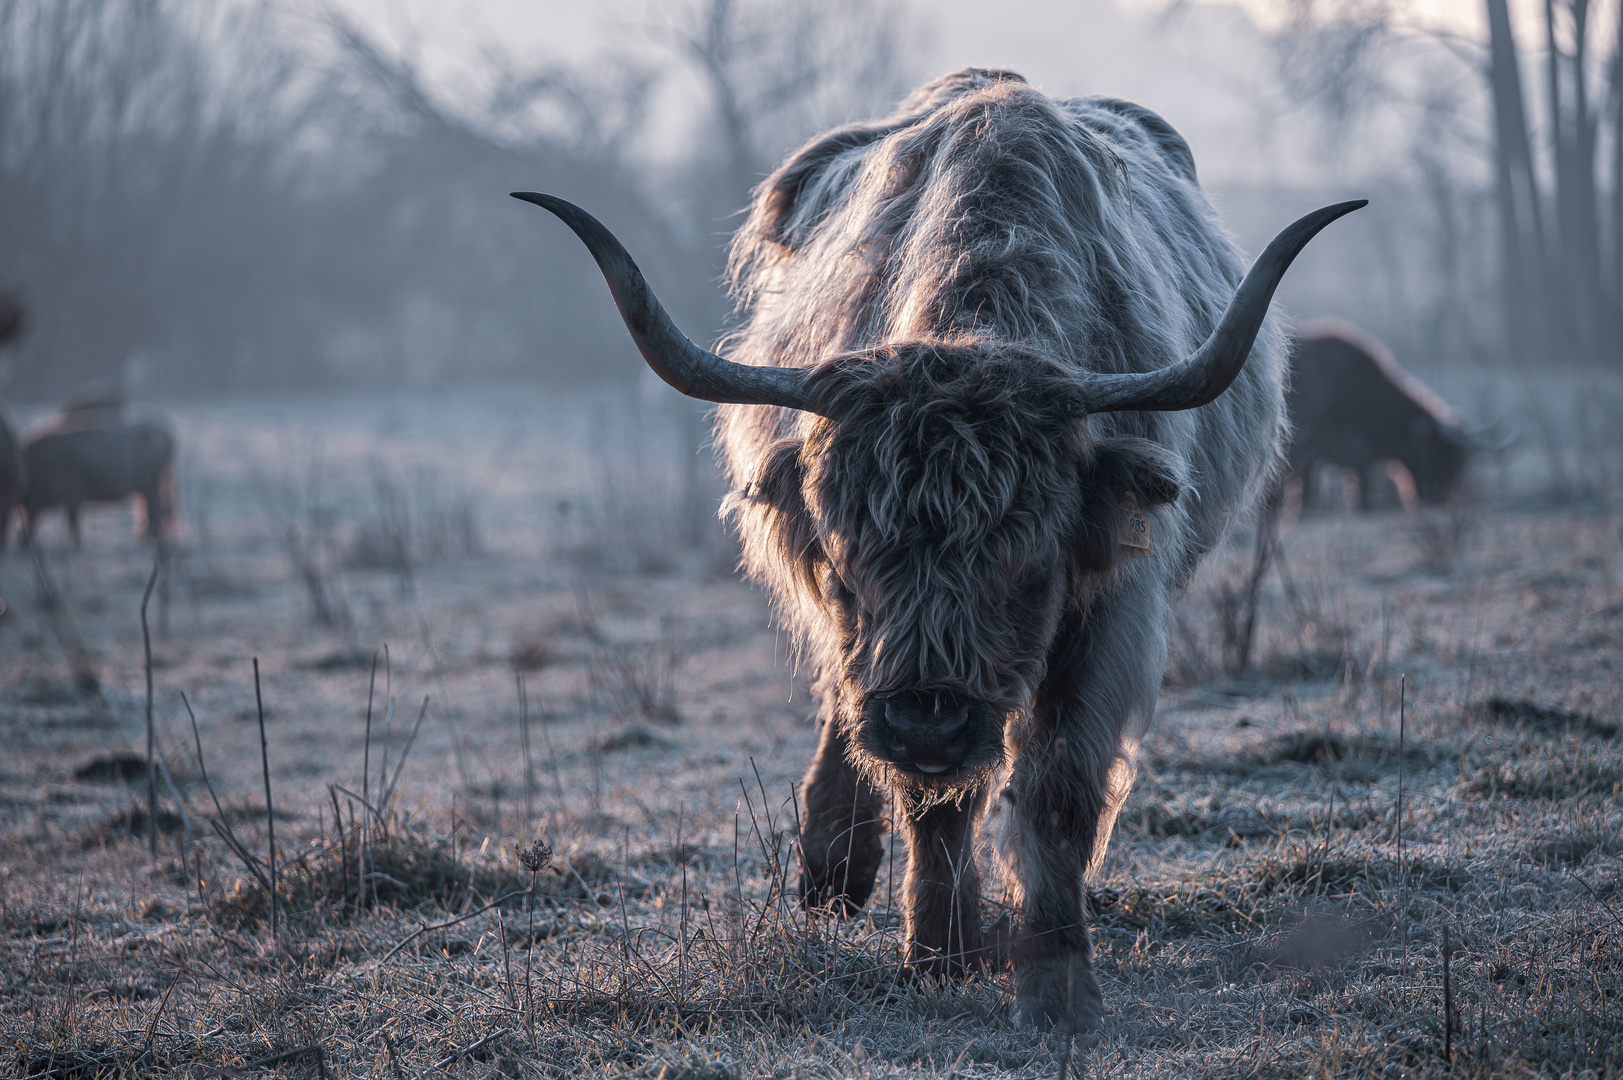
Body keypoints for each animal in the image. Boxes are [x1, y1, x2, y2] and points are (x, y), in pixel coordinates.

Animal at [20, 415, 174, 542]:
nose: (22, 543)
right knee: (150, 510)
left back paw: (148, 539)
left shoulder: (72, 497)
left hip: (150, 487)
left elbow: (73, 523)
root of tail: (162, 434)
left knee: (154, 510)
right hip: (145, 489)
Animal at [512, 67, 1363, 1026]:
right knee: (844, 711)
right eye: (846, 558)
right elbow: (932, 802)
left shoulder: (1111, 610)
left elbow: (1057, 789)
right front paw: (937, 952)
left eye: (1027, 561)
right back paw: (831, 872)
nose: (926, 720)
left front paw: (1055, 978)